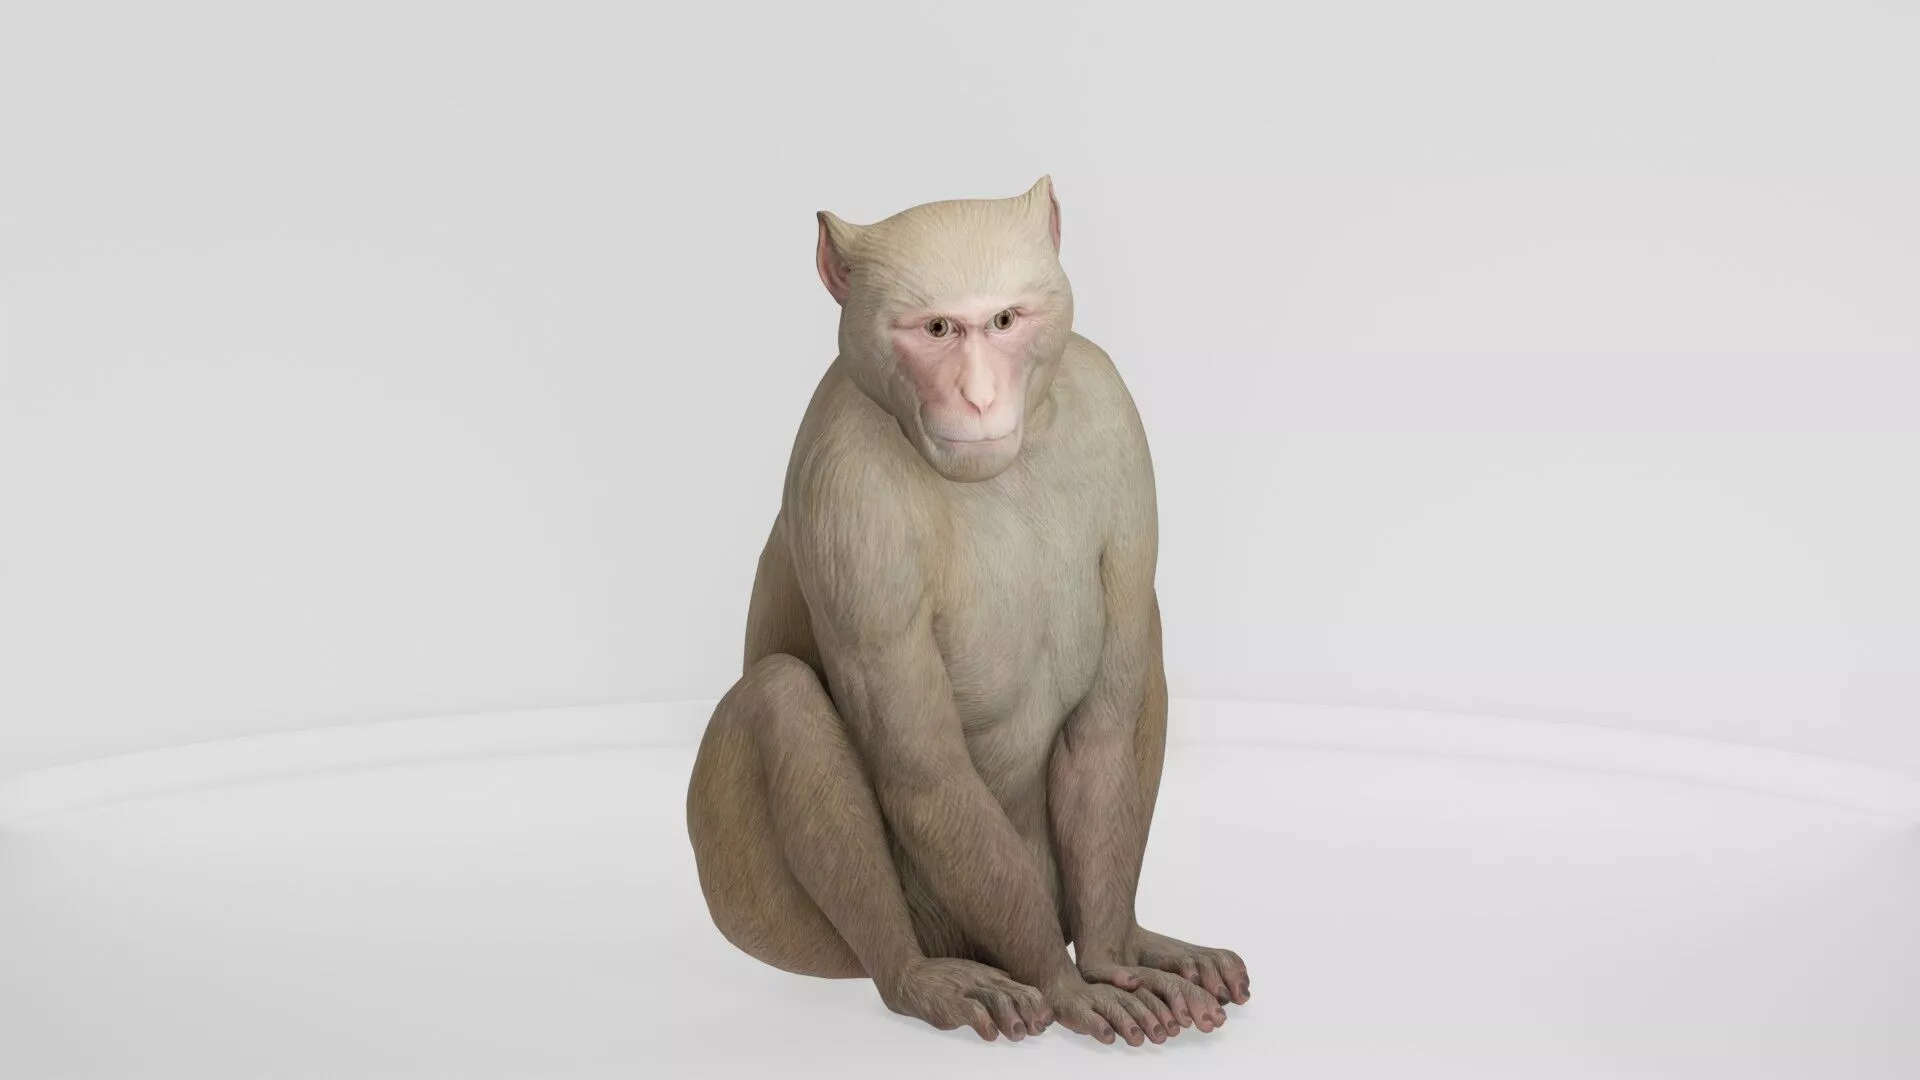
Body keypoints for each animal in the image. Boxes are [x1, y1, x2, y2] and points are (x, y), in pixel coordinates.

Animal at [685, 176, 1250, 1046]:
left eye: (1006, 321)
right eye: (937, 329)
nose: (979, 399)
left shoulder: (1113, 411)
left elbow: (1103, 725)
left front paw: (1108, 961)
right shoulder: (843, 485)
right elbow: (926, 771)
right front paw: (1067, 983)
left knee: (1143, 646)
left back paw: (1127, 939)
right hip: (782, 912)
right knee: (781, 697)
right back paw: (914, 974)